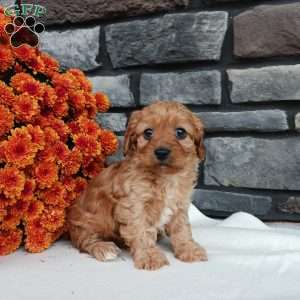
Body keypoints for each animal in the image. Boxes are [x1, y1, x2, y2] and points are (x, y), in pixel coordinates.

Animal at [67, 100, 207, 270]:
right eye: (148, 133)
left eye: (181, 132)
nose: (161, 152)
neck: (165, 177)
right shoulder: (134, 205)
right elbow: (142, 232)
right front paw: (150, 256)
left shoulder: (179, 204)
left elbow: (182, 229)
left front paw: (189, 249)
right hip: (86, 222)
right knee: (85, 240)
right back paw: (104, 248)